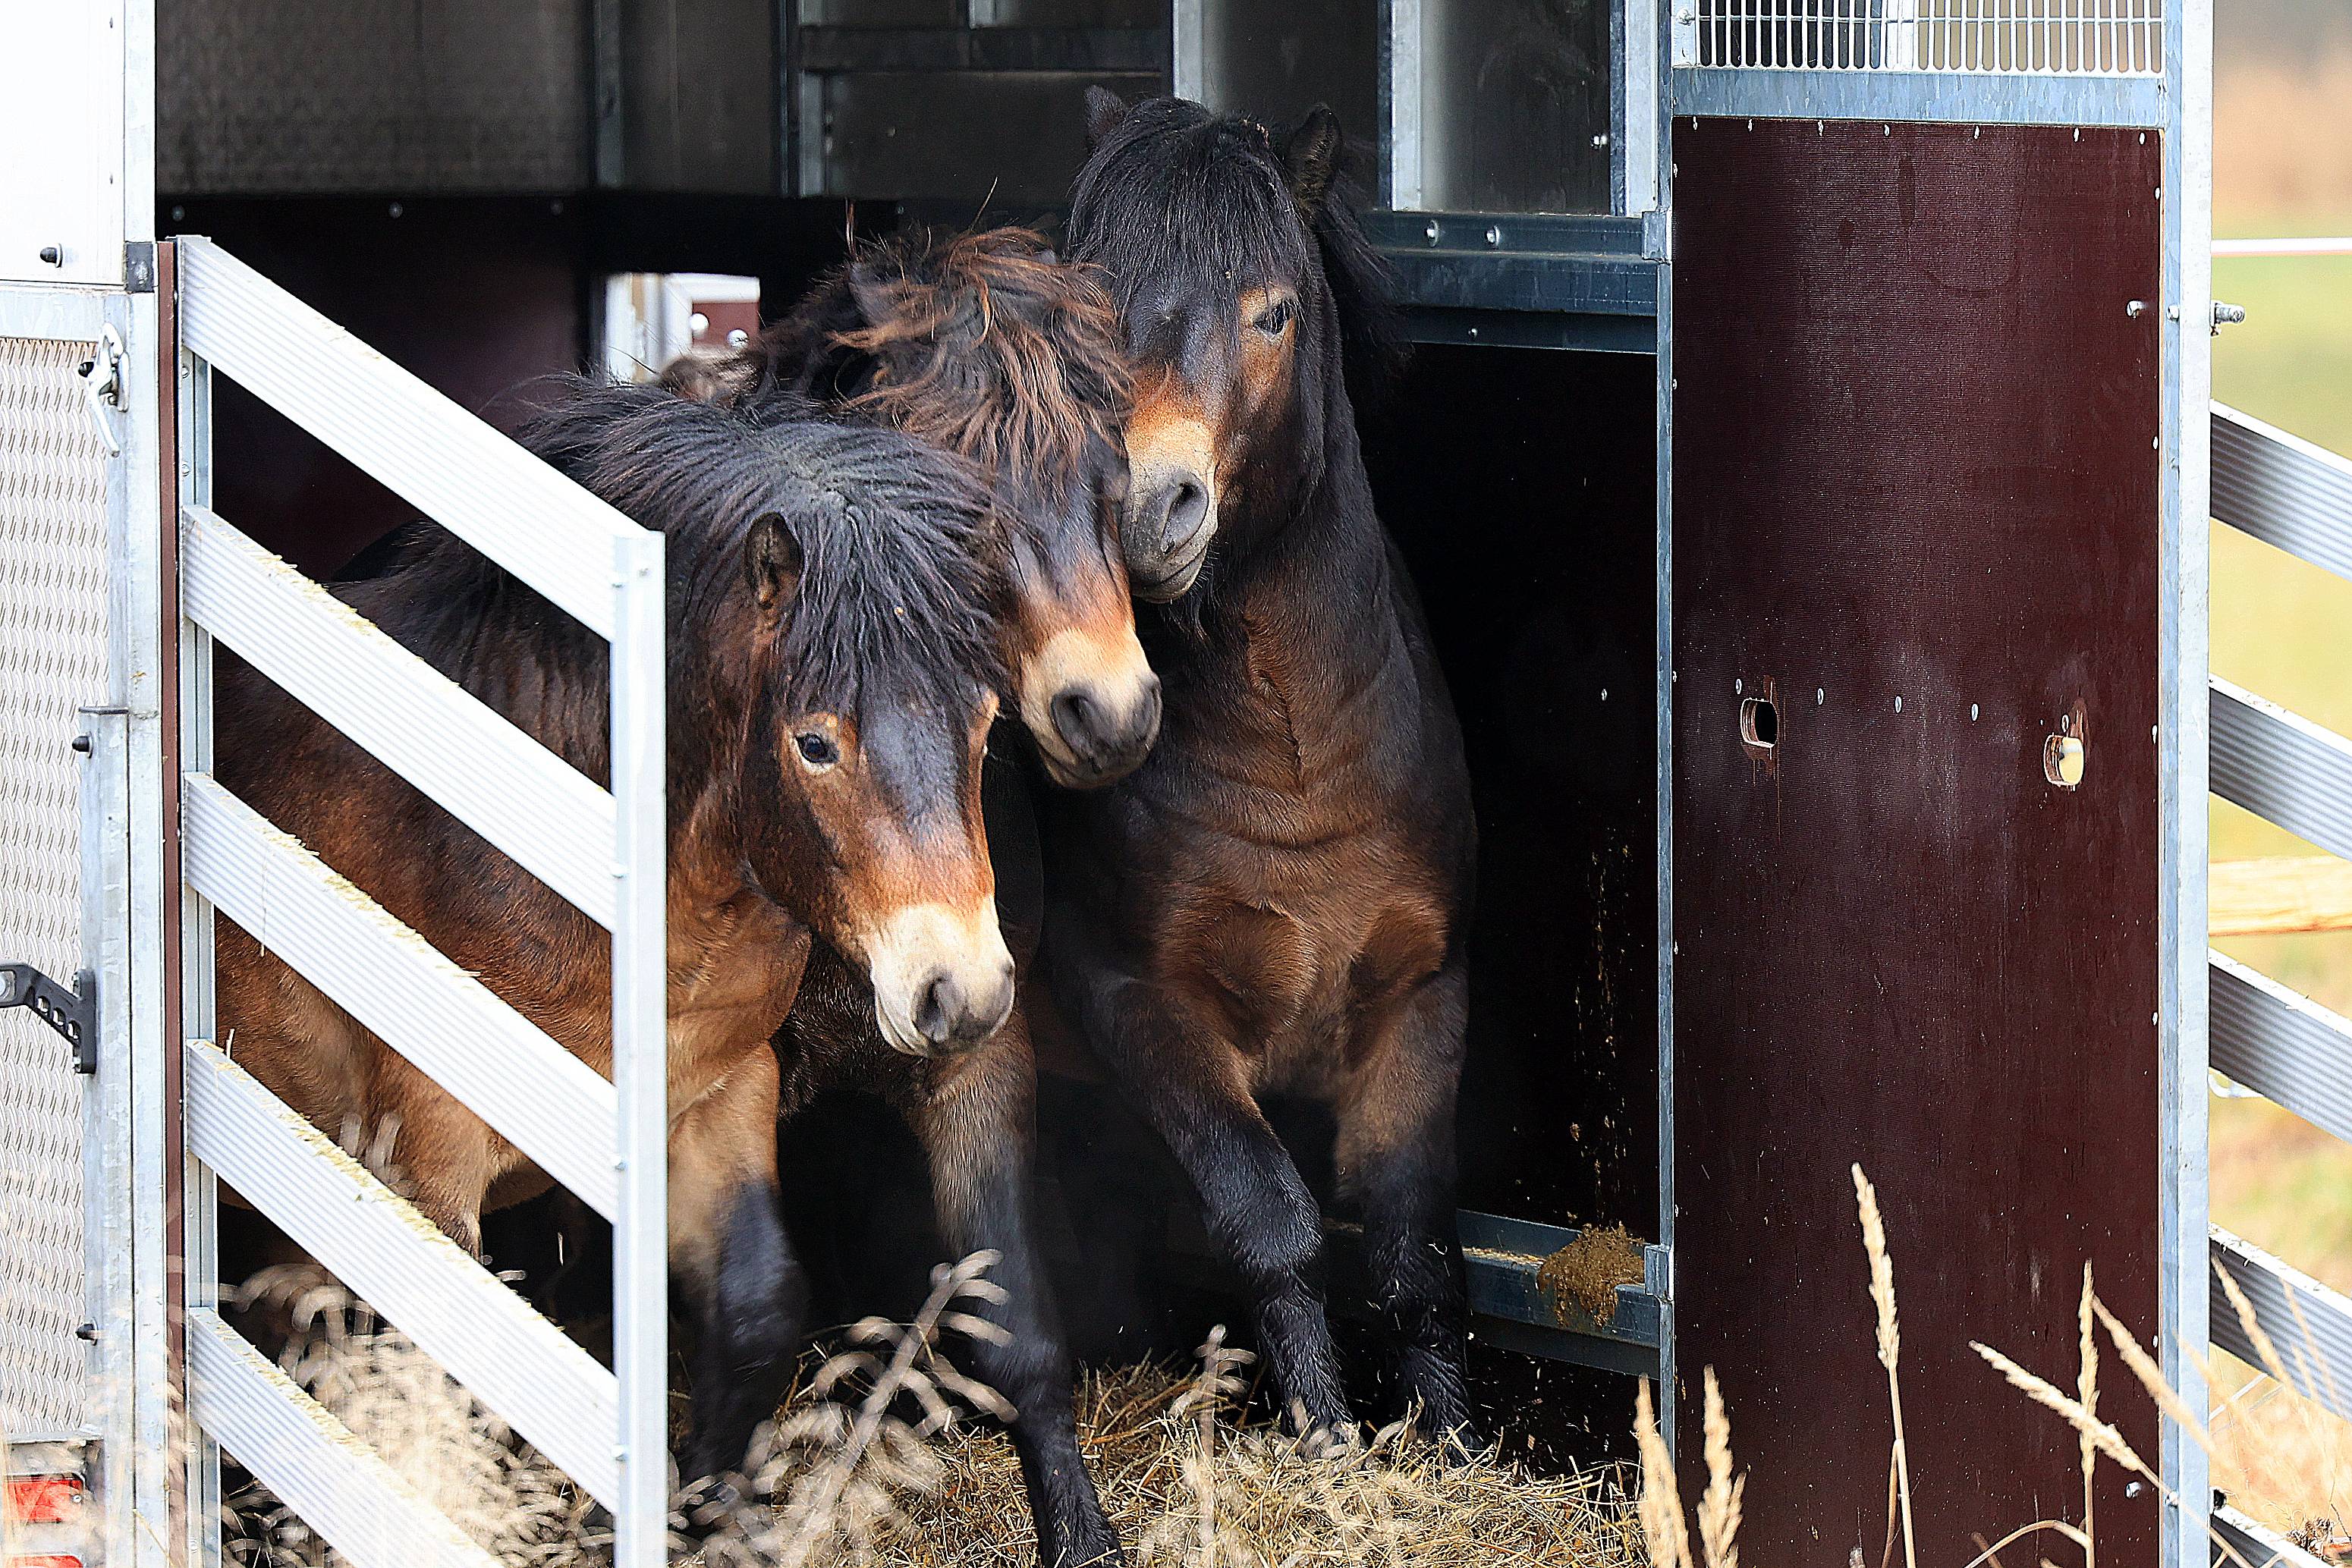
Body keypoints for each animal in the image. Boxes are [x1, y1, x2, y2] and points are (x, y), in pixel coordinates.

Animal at [221, 383, 1020, 1494]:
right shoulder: (430, 1143)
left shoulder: (722, 1090)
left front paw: (705, 1499)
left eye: (985, 723)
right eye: (815, 743)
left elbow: (758, 1303)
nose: (962, 990)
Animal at [1058, 95, 1476, 1447]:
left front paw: (1449, 1446)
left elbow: (1407, 1246)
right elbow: (1272, 1223)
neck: (1293, 760)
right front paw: (1331, 1440)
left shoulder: (1420, 996)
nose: (1149, 508)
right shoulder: (1143, 1003)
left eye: (1274, 313)